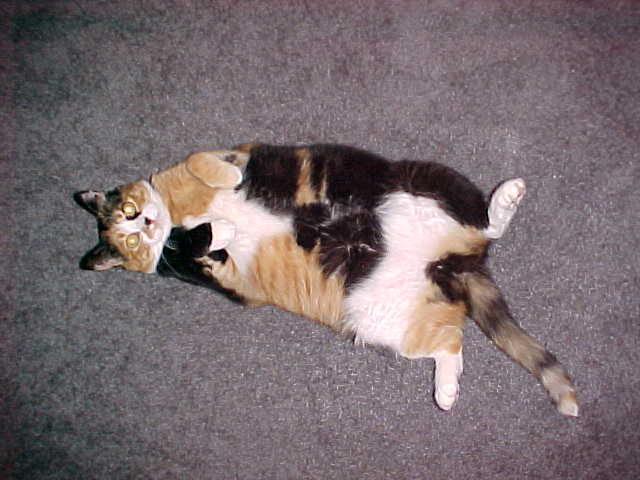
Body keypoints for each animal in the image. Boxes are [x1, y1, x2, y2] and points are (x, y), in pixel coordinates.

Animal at [74, 142, 578, 416]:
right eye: (130, 239)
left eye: (131, 212)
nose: (147, 225)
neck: (177, 216)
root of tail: (452, 261)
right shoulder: (224, 277)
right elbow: (203, 244)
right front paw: (215, 231)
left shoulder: (227, 152)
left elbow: (204, 162)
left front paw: (224, 185)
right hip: (378, 316)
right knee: (448, 342)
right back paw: (446, 392)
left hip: (425, 178)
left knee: (487, 223)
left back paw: (507, 195)